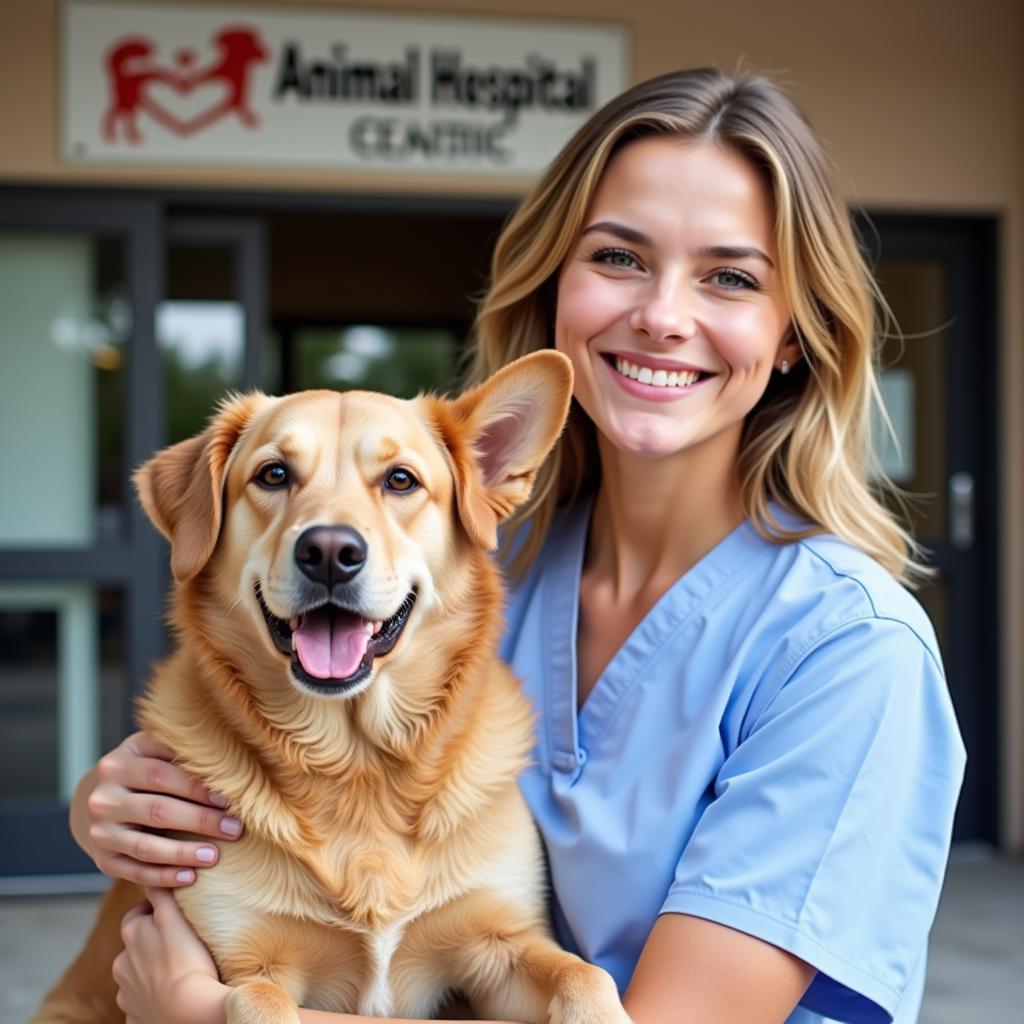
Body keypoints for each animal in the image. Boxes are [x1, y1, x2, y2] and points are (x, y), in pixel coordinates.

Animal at [34, 348, 630, 1019]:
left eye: (401, 480)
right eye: (273, 474)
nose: (327, 551)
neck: (358, 763)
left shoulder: (501, 944)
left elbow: (585, 975)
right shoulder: (243, 964)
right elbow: (258, 1003)